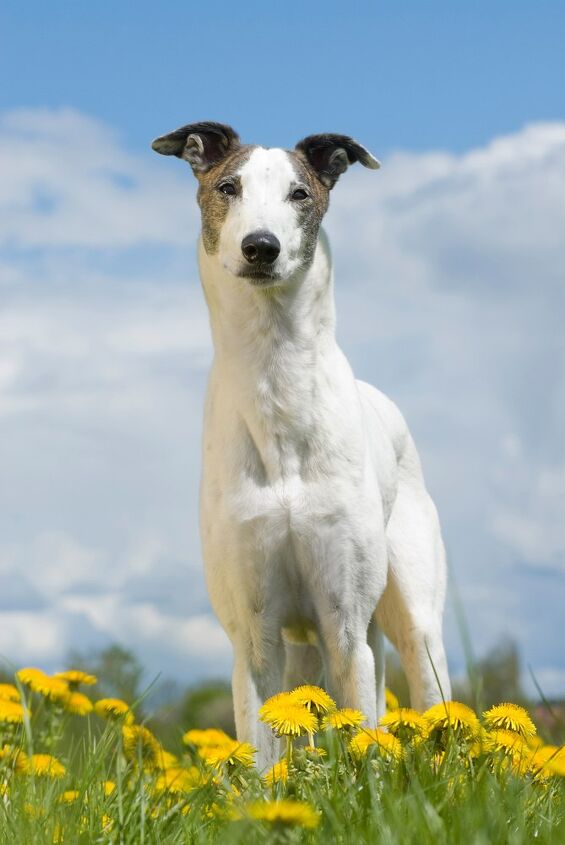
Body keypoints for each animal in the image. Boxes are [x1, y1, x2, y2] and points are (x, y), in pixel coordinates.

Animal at [151, 122, 450, 768]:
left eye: (300, 194)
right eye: (228, 187)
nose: (260, 248)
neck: (277, 386)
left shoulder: (345, 623)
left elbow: (362, 739)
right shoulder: (254, 633)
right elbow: (262, 759)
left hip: (411, 622)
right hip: (302, 647)